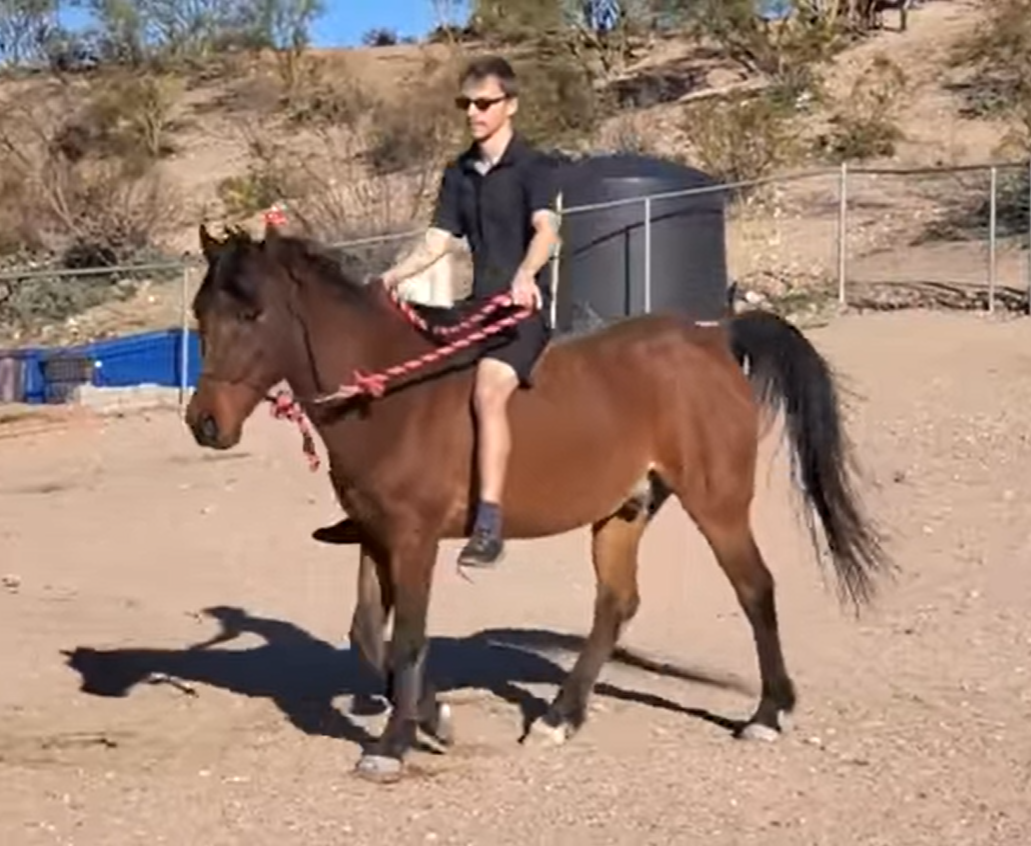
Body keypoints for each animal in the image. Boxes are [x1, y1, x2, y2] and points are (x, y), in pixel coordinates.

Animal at [183, 222, 886, 779]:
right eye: (200, 316)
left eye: (252, 315)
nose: (205, 424)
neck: (389, 398)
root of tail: (713, 336)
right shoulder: (378, 536)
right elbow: (365, 635)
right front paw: (434, 717)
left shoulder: (412, 540)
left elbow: (407, 638)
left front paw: (393, 743)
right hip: (623, 510)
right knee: (616, 604)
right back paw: (561, 716)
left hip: (715, 503)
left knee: (754, 589)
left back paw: (768, 712)